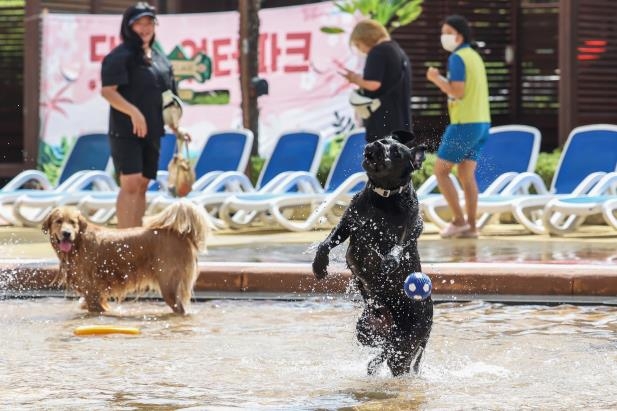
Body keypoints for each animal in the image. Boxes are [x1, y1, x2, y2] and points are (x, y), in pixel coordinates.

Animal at [42, 201, 209, 314]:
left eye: (73, 222)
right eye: (58, 221)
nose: (66, 233)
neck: (78, 242)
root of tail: (182, 234)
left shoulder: (92, 292)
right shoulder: (96, 294)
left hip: (169, 285)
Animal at [312, 131, 434, 376]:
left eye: (396, 152)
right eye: (384, 141)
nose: (376, 144)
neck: (383, 198)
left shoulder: (411, 226)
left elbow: (397, 246)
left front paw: (388, 261)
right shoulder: (348, 223)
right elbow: (327, 242)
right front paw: (319, 265)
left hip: (406, 342)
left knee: (395, 356)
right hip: (366, 329)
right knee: (382, 346)